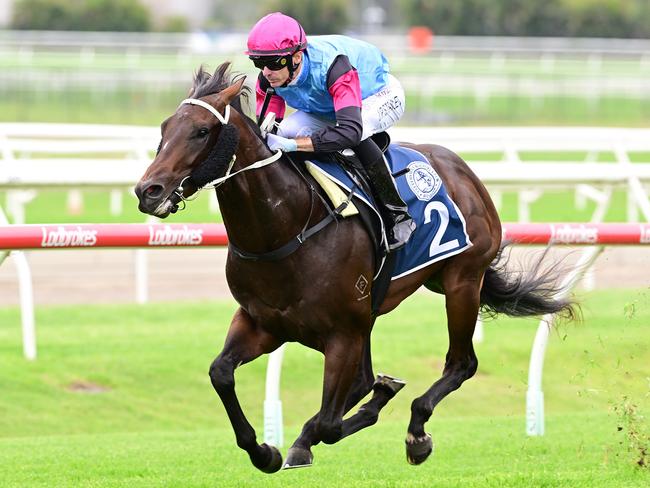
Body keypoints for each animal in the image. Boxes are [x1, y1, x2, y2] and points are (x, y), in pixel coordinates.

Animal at [133, 63, 576, 472]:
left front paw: (307, 439)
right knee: (370, 376)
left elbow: (330, 423)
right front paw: (264, 451)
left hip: (461, 282)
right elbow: (221, 373)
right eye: (165, 128)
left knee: (461, 363)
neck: (287, 228)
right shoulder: (264, 323)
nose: (147, 190)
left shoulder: (343, 332)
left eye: (202, 131)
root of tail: (462, 169)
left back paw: (416, 432)